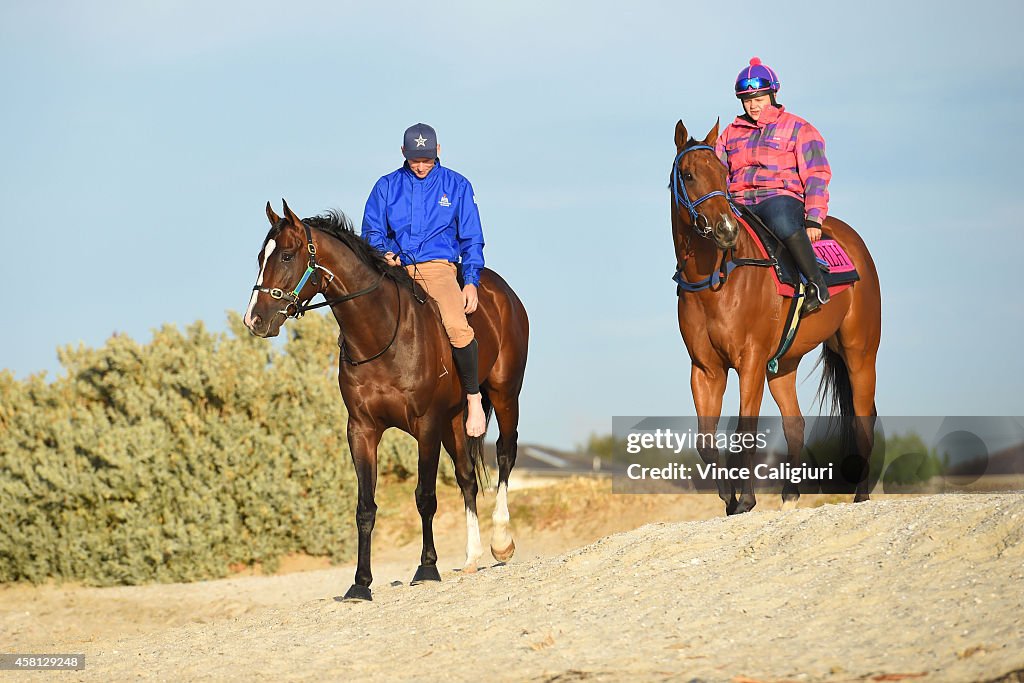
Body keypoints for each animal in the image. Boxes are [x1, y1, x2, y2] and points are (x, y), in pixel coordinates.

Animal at [240, 200, 528, 602]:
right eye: (259, 257)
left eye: (284, 255)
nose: (254, 320)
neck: (381, 334)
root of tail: (502, 291)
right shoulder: (362, 430)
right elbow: (365, 507)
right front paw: (360, 583)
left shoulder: (426, 426)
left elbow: (425, 497)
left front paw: (427, 568)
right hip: (455, 420)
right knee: (467, 477)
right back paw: (471, 557)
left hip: (505, 395)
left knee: (504, 454)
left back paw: (501, 542)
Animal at [671, 120, 880, 516]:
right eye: (688, 175)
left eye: (722, 172)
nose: (727, 229)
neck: (717, 277)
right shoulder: (705, 369)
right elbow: (706, 442)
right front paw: (729, 499)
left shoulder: (750, 360)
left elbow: (744, 433)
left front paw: (746, 501)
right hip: (784, 364)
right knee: (795, 424)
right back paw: (790, 496)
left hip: (860, 353)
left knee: (864, 418)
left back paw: (861, 496)